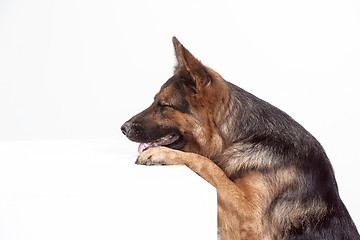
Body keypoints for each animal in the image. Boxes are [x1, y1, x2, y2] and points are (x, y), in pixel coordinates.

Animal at [121, 37, 360, 240]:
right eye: (155, 101)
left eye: (163, 105)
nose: (123, 128)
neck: (236, 138)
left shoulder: (249, 216)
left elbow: (208, 166)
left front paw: (159, 154)